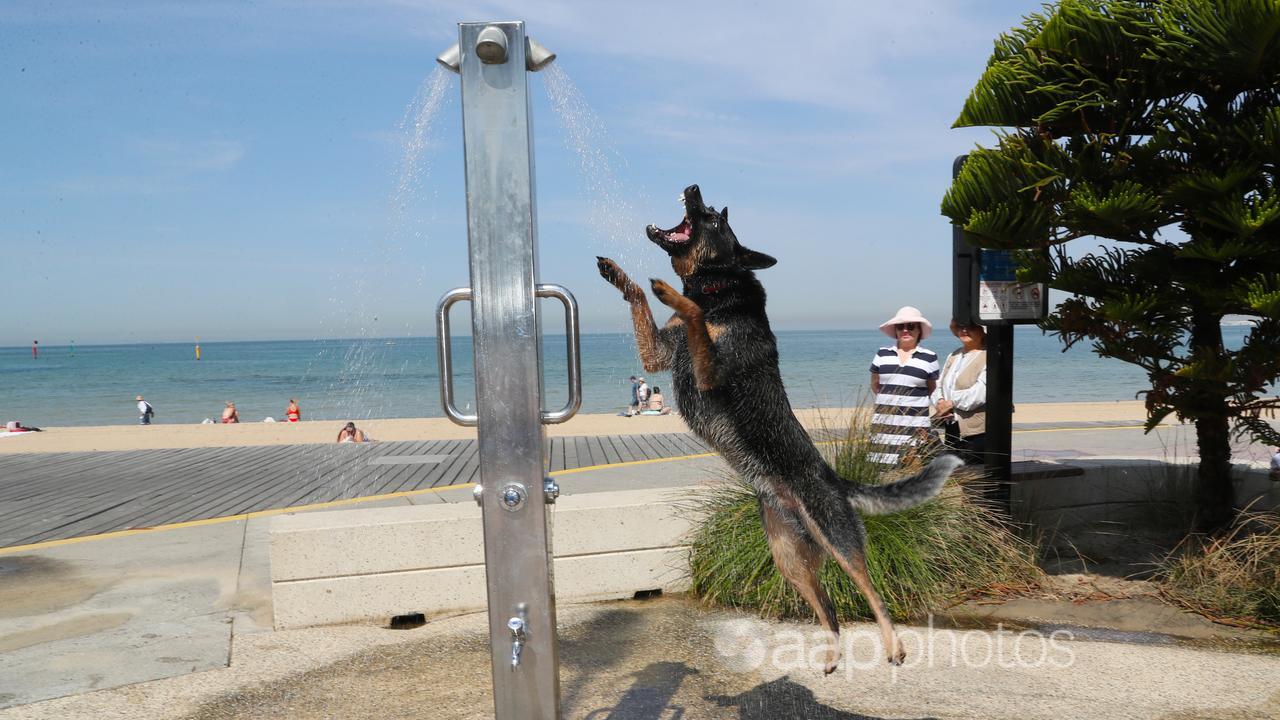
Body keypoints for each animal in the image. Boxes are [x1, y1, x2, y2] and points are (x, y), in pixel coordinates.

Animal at [599, 181, 962, 671]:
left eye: (713, 217)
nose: (693, 186)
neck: (717, 287)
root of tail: (835, 480)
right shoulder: (657, 355)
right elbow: (639, 297)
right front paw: (617, 274)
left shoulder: (712, 374)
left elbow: (692, 314)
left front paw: (673, 294)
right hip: (789, 560)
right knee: (829, 608)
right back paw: (832, 655)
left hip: (836, 538)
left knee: (871, 592)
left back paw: (894, 646)